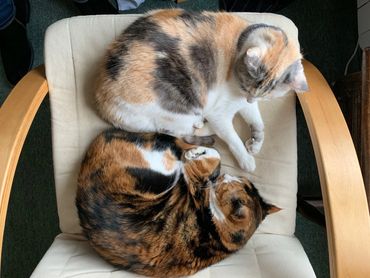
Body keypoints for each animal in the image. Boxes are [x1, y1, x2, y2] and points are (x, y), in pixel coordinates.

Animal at [77, 129, 280, 276]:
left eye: (231, 184)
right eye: (244, 182)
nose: (227, 176)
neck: (218, 234)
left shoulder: (196, 181)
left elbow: (212, 160)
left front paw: (199, 155)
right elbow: (214, 158)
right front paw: (202, 153)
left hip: (163, 173)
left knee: (175, 147)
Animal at [94, 8, 308, 172]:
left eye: (266, 94)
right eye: (247, 85)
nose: (250, 98)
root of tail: (102, 102)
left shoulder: (243, 103)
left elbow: (258, 122)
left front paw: (255, 142)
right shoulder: (220, 112)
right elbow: (233, 139)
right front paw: (246, 159)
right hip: (180, 110)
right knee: (180, 133)